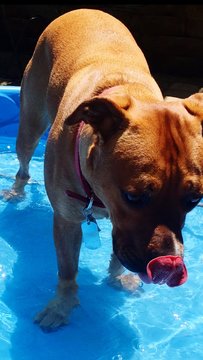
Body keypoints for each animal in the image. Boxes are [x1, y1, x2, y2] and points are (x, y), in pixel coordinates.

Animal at [6, 8, 203, 330]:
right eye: (134, 197)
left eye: (194, 199)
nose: (168, 268)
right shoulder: (67, 221)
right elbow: (67, 271)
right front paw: (62, 305)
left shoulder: (121, 225)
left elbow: (118, 252)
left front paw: (118, 276)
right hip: (30, 124)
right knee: (23, 167)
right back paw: (15, 192)